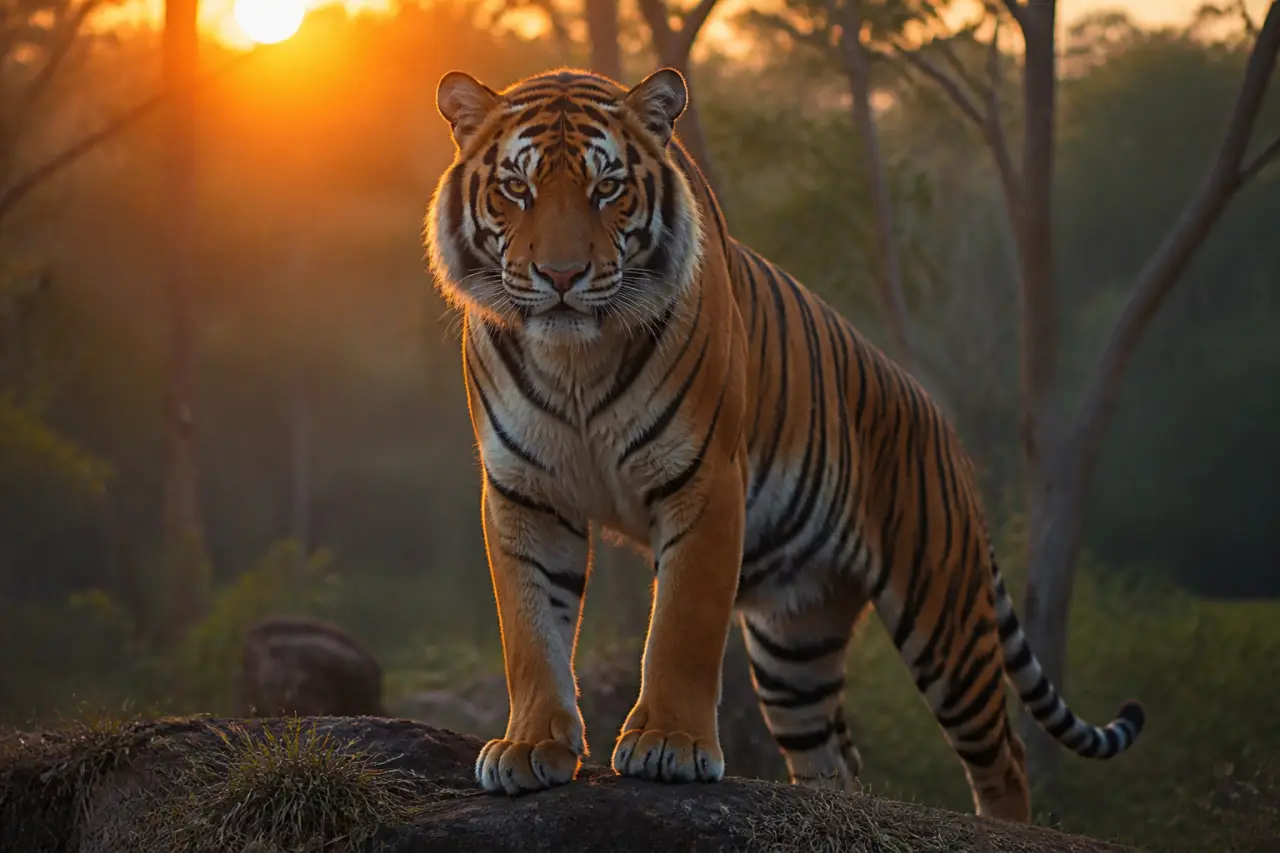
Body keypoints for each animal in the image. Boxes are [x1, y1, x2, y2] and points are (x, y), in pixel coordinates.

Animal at [423, 65, 1145, 823]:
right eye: (517, 189)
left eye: (608, 189)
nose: (561, 277)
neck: (574, 362)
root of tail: (940, 421)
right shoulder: (524, 490)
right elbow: (531, 629)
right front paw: (531, 746)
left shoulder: (705, 478)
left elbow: (681, 625)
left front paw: (669, 743)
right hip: (794, 644)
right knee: (833, 756)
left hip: (945, 615)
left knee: (1003, 755)